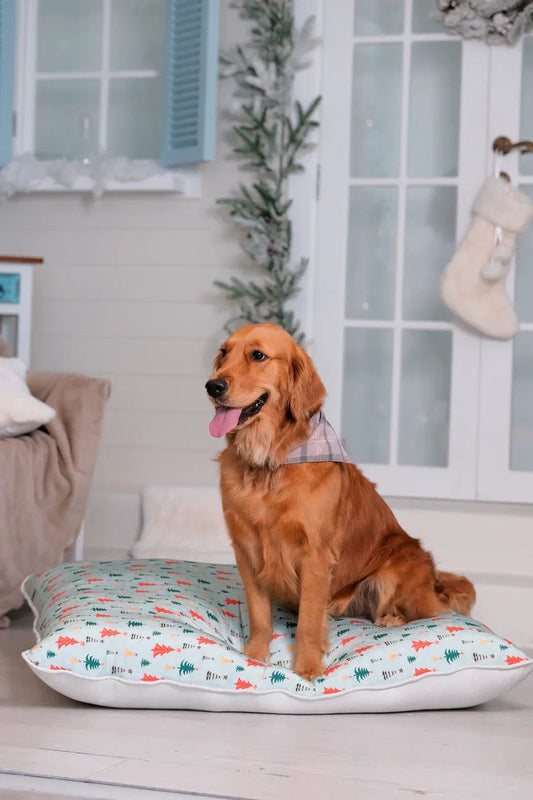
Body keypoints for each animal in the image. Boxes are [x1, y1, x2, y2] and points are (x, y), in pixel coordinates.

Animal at [204, 322, 474, 680]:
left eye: (258, 355)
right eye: (223, 353)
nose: (213, 386)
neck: (269, 464)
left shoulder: (315, 554)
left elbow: (308, 620)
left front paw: (307, 668)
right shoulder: (246, 549)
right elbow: (260, 615)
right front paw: (254, 657)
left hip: (394, 571)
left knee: (433, 610)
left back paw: (392, 617)